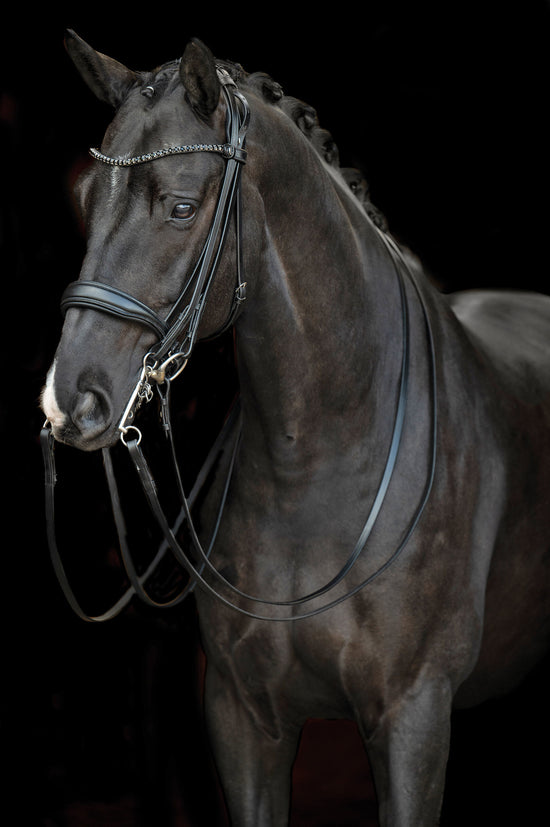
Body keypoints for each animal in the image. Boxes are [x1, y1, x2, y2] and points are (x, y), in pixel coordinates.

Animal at [41, 30, 550, 825]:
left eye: (180, 206)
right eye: (86, 198)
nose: (71, 400)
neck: (317, 462)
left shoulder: (413, 717)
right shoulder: (244, 719)